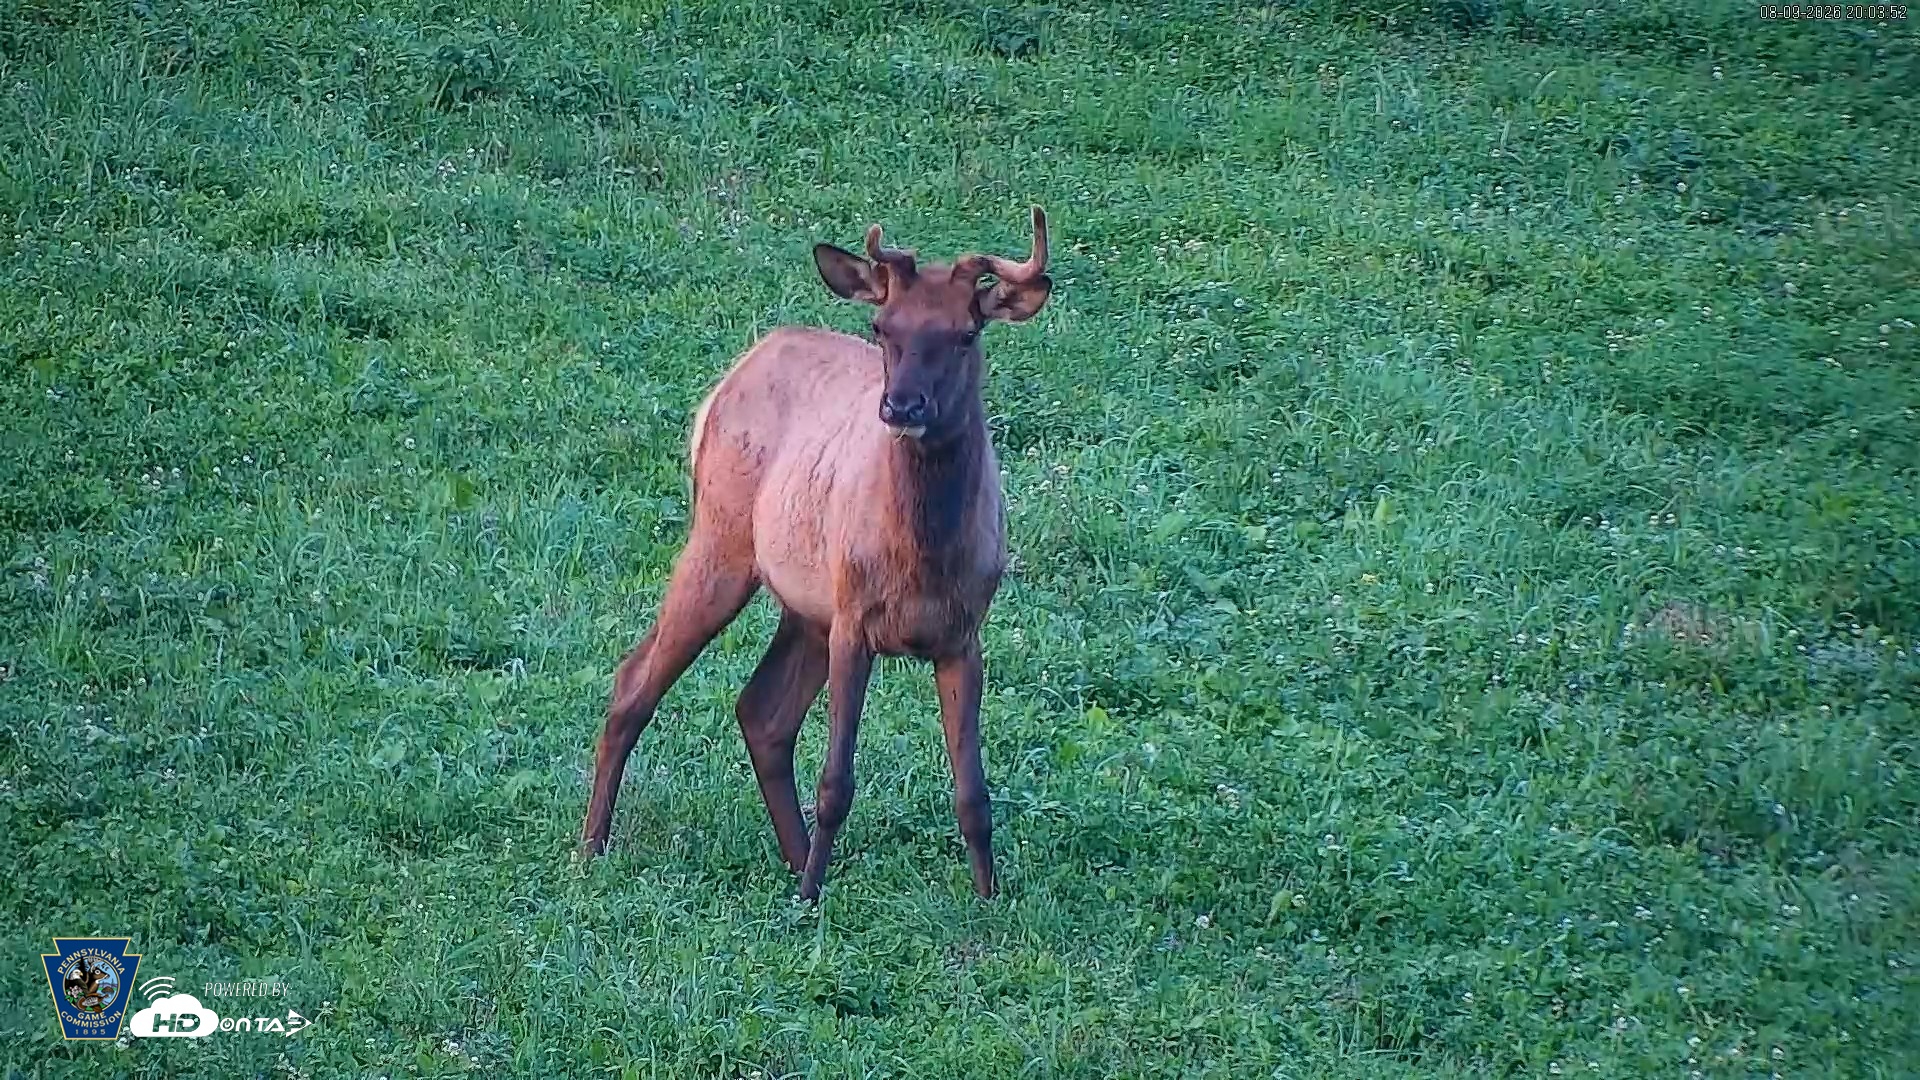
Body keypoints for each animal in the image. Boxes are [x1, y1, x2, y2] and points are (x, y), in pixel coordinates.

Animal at [579, 206, 1053, 901]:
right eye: (883, 327)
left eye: (967, 333)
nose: (902, 404)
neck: (924, 558)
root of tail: (727, 381)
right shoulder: (854, 620)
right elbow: (836, 782)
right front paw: (809, 901)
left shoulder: (964, 633)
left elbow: (974, 793)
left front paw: (989, 901)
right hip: (721, 542)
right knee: (634, 680)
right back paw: (591, 848)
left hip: (805, 605)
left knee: (760, 711)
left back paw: (796, 859)